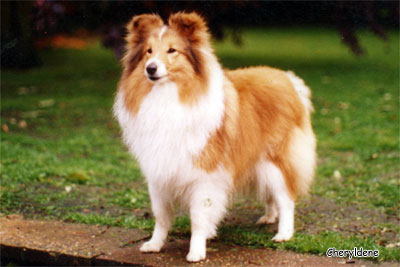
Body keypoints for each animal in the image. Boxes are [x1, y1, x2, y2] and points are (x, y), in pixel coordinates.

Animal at [113, 11, 316, 262]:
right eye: (148, 51)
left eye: (172, 50)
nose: (150, 69)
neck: (169, 97)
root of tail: (290, 80)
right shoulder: (159, 173)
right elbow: (161, 216)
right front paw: (154, 244)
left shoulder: (204, 175)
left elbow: (199, 217)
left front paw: (196, 251)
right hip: (258, 164)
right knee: (273, 196)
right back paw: (270, 217)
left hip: (274, 162)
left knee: (286, 198)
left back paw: (283, 234)